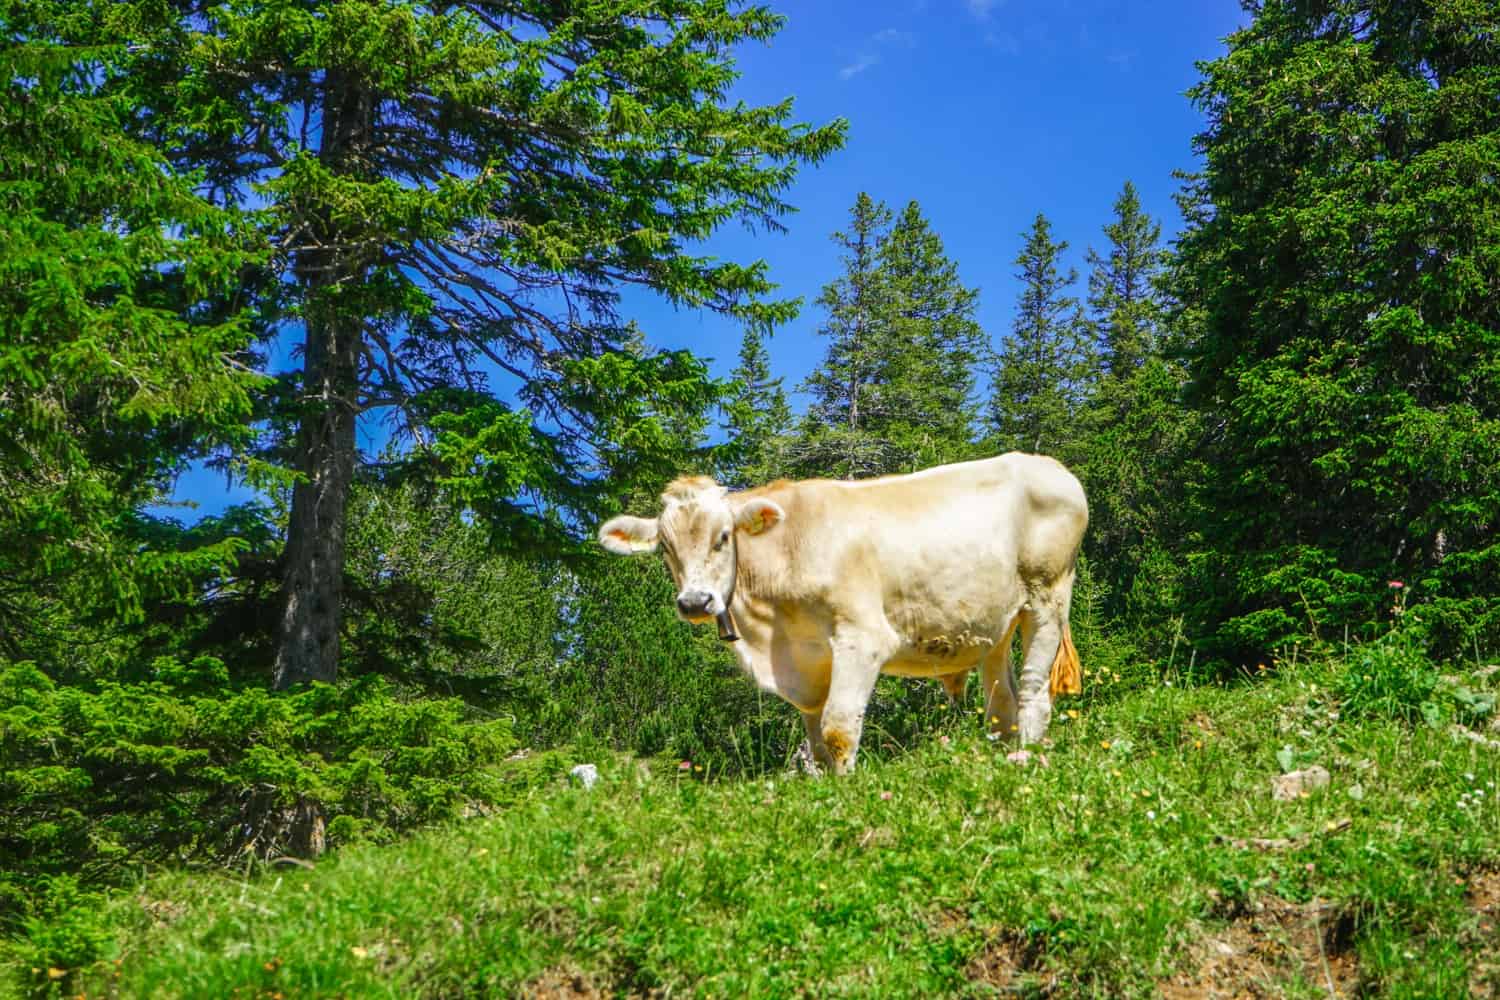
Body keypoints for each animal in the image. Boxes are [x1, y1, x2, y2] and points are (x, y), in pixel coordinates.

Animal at [597, 452, 1092, 773]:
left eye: (722, 537)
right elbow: (815, 741)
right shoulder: (807, 661)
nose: (695, 602)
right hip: (994, 623)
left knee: (1033, 691)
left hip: (1047, 596)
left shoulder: (863, 638)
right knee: (1001, 705)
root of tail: (1049, 466)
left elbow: (838, 730)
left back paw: (1026, 761)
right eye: (665, 547)